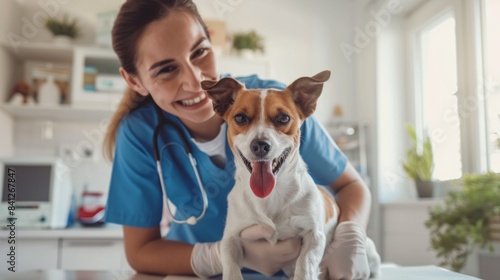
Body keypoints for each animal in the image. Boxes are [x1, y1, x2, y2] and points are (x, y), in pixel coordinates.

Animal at [201, 71, 376, 278]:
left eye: (283, 118)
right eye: (241, 118)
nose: (260, 145)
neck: (270, 196)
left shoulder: (314, 236)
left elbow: (304, 264)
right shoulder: (231, 238)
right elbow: (231, 268)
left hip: (368, 249)